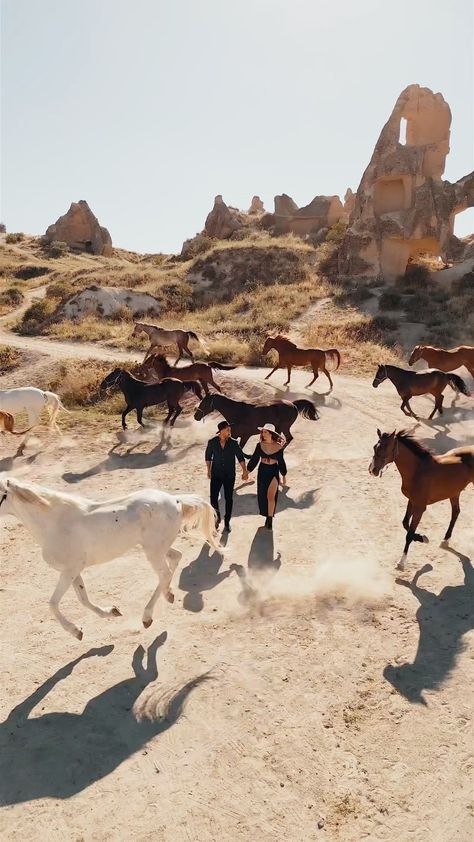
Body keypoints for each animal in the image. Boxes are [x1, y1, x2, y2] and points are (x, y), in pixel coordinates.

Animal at [0, 476, 222, 640]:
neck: (54, 523)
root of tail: (175, 500)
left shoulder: (69, 571)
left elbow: (53, 604)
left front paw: (75, 631)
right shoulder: (73, 570)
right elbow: (83, 599)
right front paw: (110, 612)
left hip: (153, 551)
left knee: (165, 573)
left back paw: (147, 617)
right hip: (157, 547)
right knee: (175, 559)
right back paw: (169, 595)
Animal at [370, 426, 474, 572]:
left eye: (387, 448)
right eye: (375, 447)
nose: (373, 470)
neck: (417, 471)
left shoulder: (420, 507)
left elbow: (409, 534)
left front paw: (401, 563)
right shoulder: (412, 501)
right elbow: (405, 523)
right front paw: (423, 538)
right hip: (454, 493)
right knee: (456, 512)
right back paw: (445, 540)